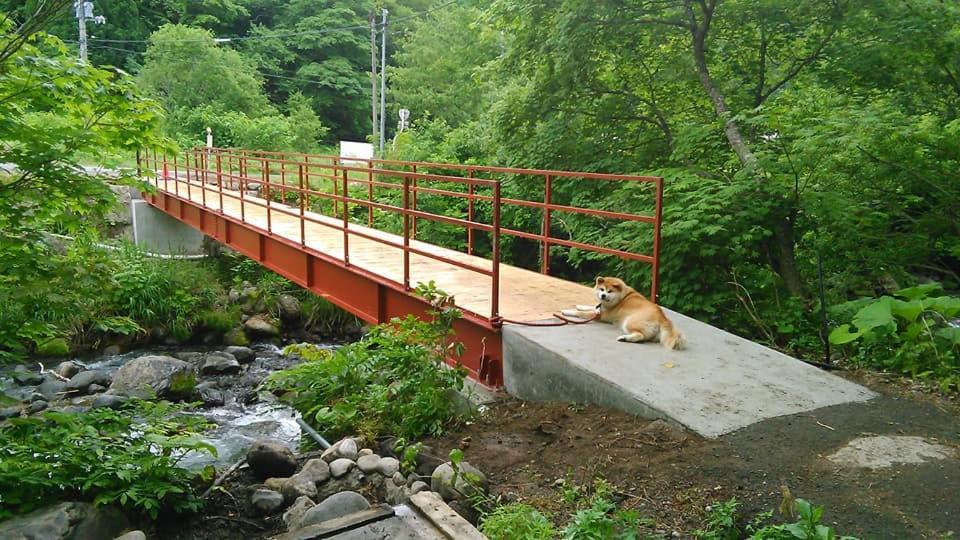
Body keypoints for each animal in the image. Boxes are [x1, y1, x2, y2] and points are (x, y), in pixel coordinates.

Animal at [560, 276, 688, 348]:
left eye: (609, 291)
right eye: (602, 289)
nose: (603, 295)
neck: (620, 298)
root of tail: (662, 317)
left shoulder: (601, 316)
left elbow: (581, 313)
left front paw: (567, 311)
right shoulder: (600, 309)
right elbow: (590, 307)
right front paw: (579, 306)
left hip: (629, 321)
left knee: (640, 336)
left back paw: (624, 338)